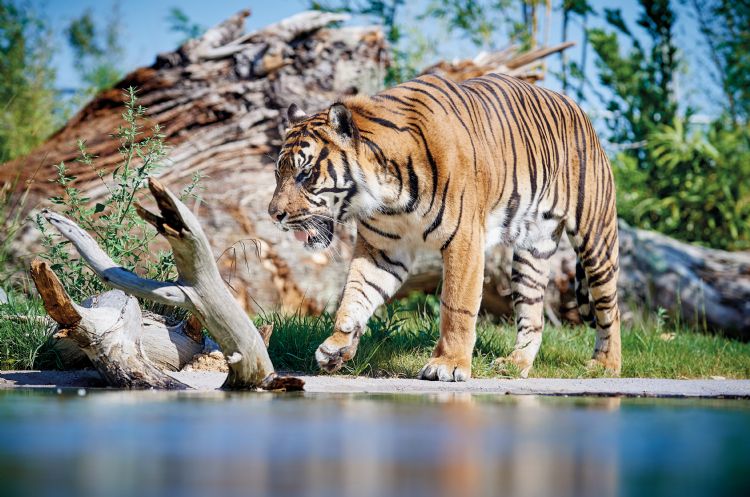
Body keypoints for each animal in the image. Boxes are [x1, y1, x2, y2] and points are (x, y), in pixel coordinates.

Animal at [270, 71, 624, 380]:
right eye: (279, 173)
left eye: (305, 174)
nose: (274, 214)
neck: (387, 194)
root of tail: (577, 108)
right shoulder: (382, 250)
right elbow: (356, 294)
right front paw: (337, 347)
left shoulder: (464, 240)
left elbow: (457, 306)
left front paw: (449, 365)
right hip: (531, 253)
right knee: (533, 316)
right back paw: (516, 363)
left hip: (596, 239)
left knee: (610, 307)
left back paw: (606, 365)